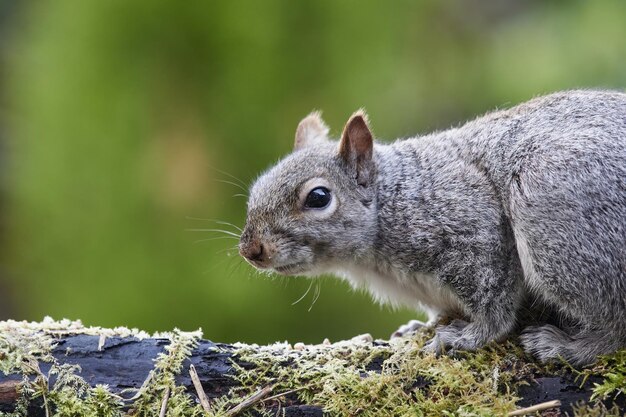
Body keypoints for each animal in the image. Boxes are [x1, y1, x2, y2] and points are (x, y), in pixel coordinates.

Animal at [239, 91, 624, 364]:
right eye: (255, 190)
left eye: (318, 197)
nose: (251, 250)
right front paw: (419, 326)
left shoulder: (470, 224)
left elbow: (494, 303)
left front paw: (469, 336)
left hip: (554, 218)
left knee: (614, 322)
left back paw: (568, 347)